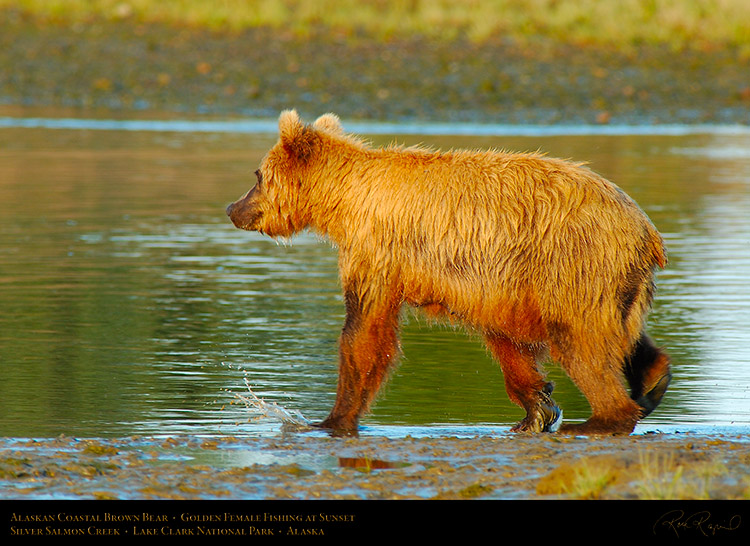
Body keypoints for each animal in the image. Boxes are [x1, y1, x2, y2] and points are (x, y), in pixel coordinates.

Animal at [226, 110, 672, 434]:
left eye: (257, 176)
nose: (233, 209)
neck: (345, 202)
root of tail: (647, 230)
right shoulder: (495, 284)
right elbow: (506, 343)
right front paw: (536, 405)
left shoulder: (377, 251)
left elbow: (364, 332)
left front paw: (332, 419)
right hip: (609, 279)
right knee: (618, 333)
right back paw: (652, 381)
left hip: (573, 259)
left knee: (579, 340)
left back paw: (601, 419)